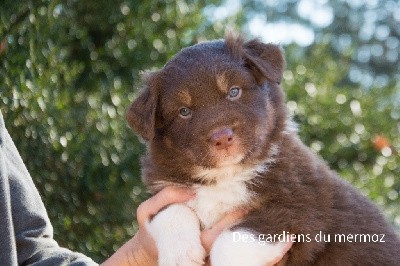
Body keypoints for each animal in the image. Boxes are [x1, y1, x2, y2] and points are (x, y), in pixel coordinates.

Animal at [126, 34, 400, 264]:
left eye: (234, 92)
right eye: (184, 111)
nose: (222, 138)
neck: (226, 176)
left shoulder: (298, 209)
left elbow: (230, 243)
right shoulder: (167, 188)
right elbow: (169, 211)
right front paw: (180, 256)